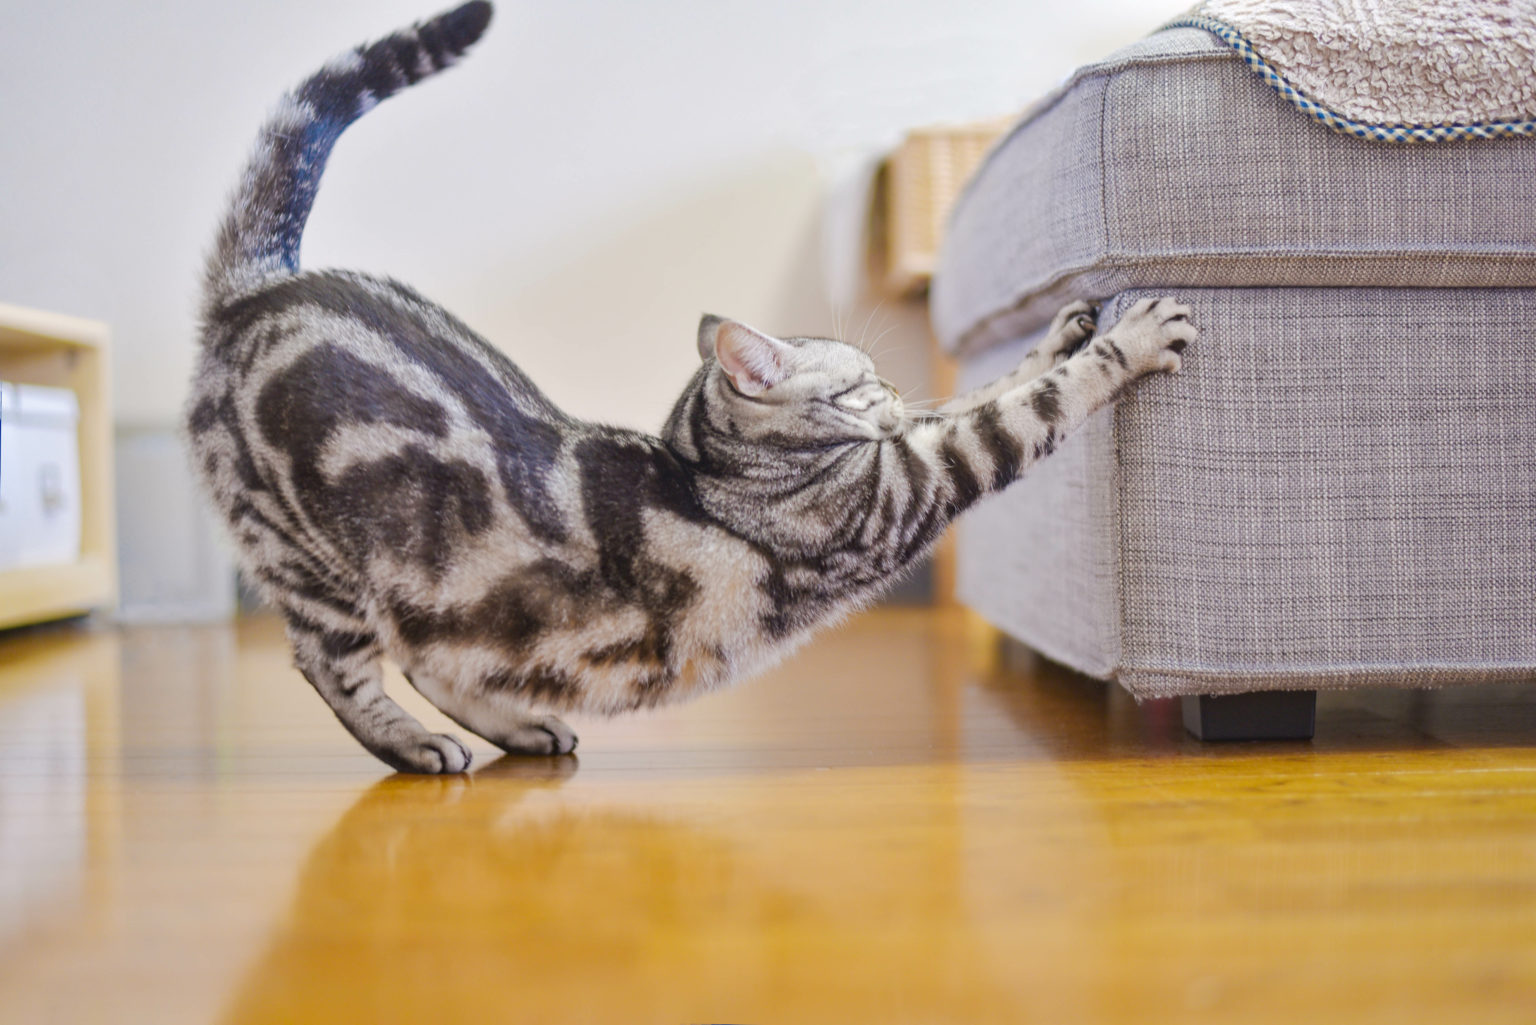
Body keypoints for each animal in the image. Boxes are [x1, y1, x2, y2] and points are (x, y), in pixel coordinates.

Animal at [185, 0, 1191, 768]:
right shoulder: (912, 482)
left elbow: (990, 388)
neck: (714, 466)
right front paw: (1131, 337)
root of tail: (259, 288)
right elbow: (1023, 409)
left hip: (449, 597)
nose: (891, 395)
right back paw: (411, 744)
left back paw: (520, 726)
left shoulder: (907, 453)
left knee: (442, 655)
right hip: (313, 563)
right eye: (860, 382)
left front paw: (1063, 328)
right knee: (336, 665)